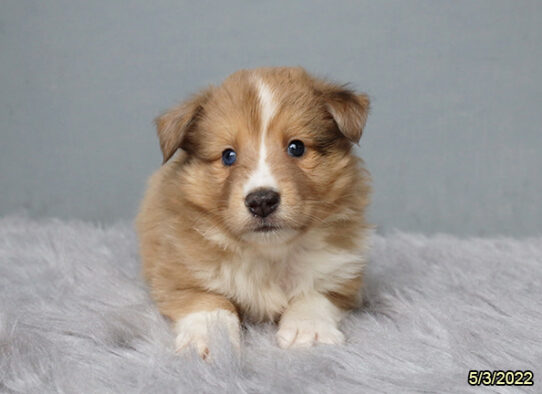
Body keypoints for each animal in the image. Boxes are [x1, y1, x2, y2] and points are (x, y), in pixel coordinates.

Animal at [137, 65, 374, 358]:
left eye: (296, 147)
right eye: (228, 155)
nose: (261, 201)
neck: (268, 254)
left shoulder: (342, 274)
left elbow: (314, 293)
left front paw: (308, 333)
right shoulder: (179, 274)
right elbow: (210, 303)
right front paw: (212, 340)